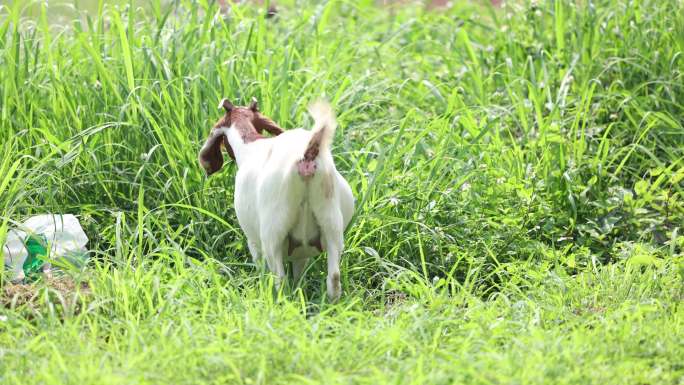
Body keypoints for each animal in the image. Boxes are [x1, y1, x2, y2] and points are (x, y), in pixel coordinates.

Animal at [198, 98, 356, 300]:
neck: (250, 145)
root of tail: (307, 158)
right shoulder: (301, 251)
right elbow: (298, 274)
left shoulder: (254, 242)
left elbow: (261, 268)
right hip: (331, 223)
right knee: (334, 277)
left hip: (272, 233)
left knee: (279, 280)